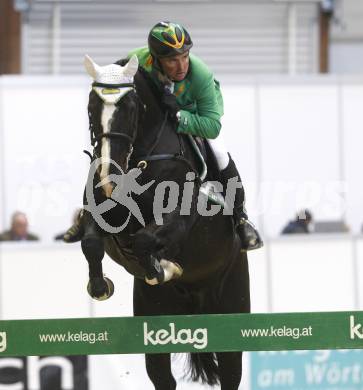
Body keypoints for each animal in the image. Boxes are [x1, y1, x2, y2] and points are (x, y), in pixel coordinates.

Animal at [81, 55, 250, 390]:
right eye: (91, 107)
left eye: (130, 108)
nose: (109, 176)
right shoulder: (99, 215)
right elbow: (90, 242)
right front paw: (100, 286)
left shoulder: (179, 222)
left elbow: (145, 240)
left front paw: (163, 268)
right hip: (155, 320)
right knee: (161, 376)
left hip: (231, 306)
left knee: (230, 372)